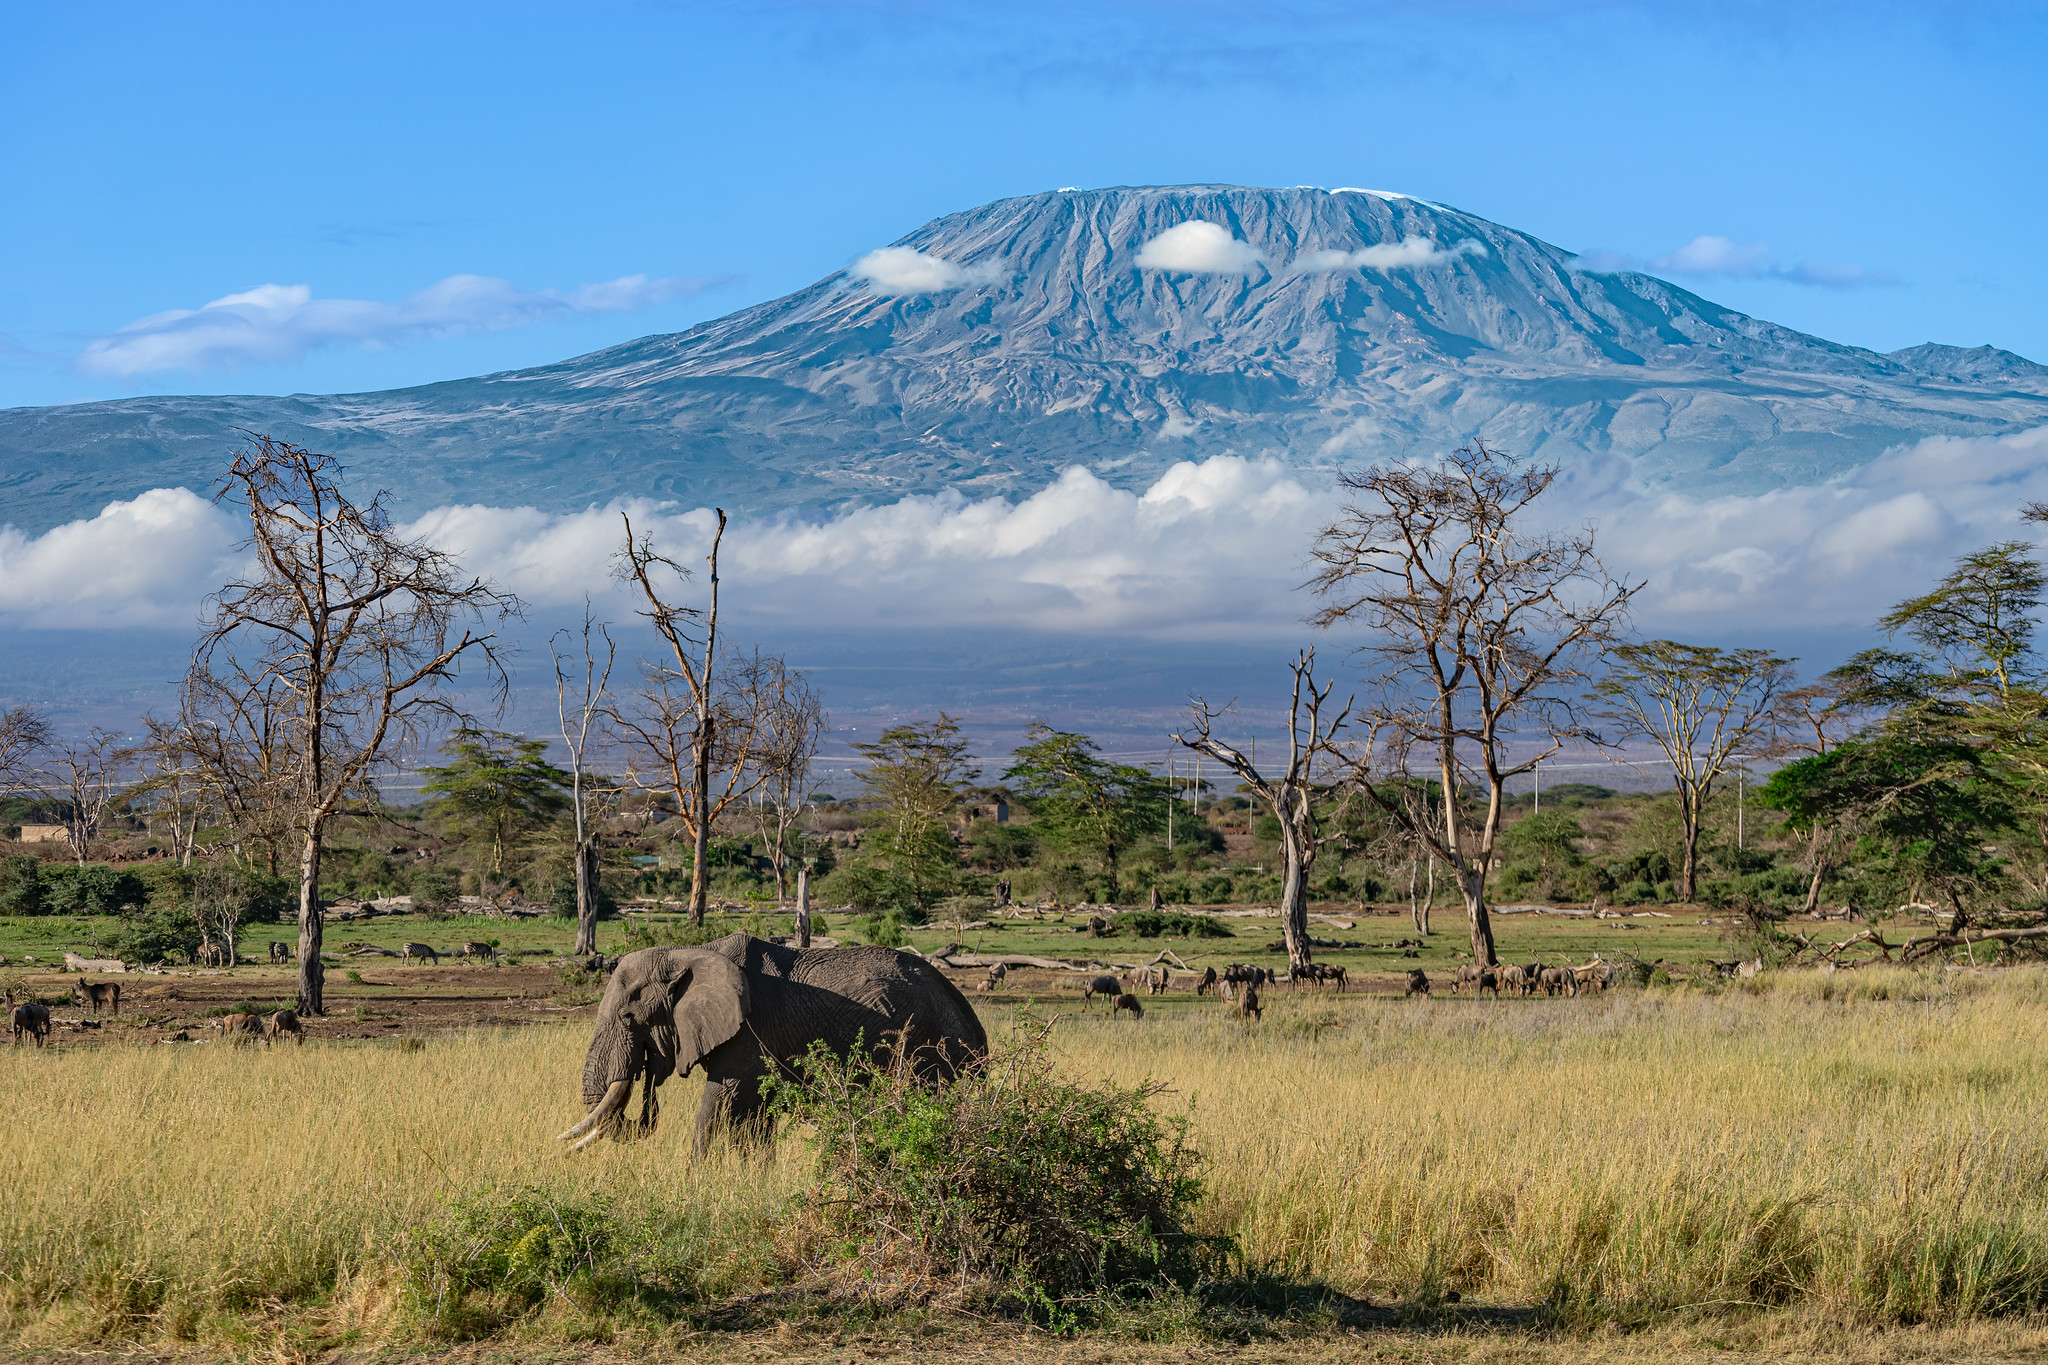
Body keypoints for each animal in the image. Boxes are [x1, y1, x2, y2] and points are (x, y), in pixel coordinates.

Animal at [559, 933, 987, 1156]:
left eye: (628, 1018)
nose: (646, 1076)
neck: (689, 952)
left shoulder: (750, 1030)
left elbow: (719, 1104)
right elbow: (755, 1118)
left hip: (932, 1051)